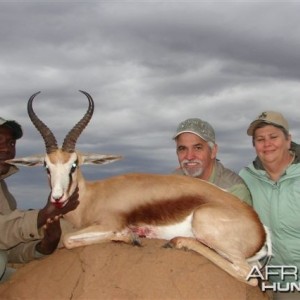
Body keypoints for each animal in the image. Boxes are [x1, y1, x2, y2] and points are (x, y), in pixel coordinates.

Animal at [7, 91, 270, 286]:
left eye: (74, 165)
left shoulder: (108, 223)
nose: (57, 198)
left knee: (248, 276)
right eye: (46, 166)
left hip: (204, 222)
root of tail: (261, 230)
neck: (93, 197)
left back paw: (174, 241)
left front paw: (129, 236)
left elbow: (69, 239)